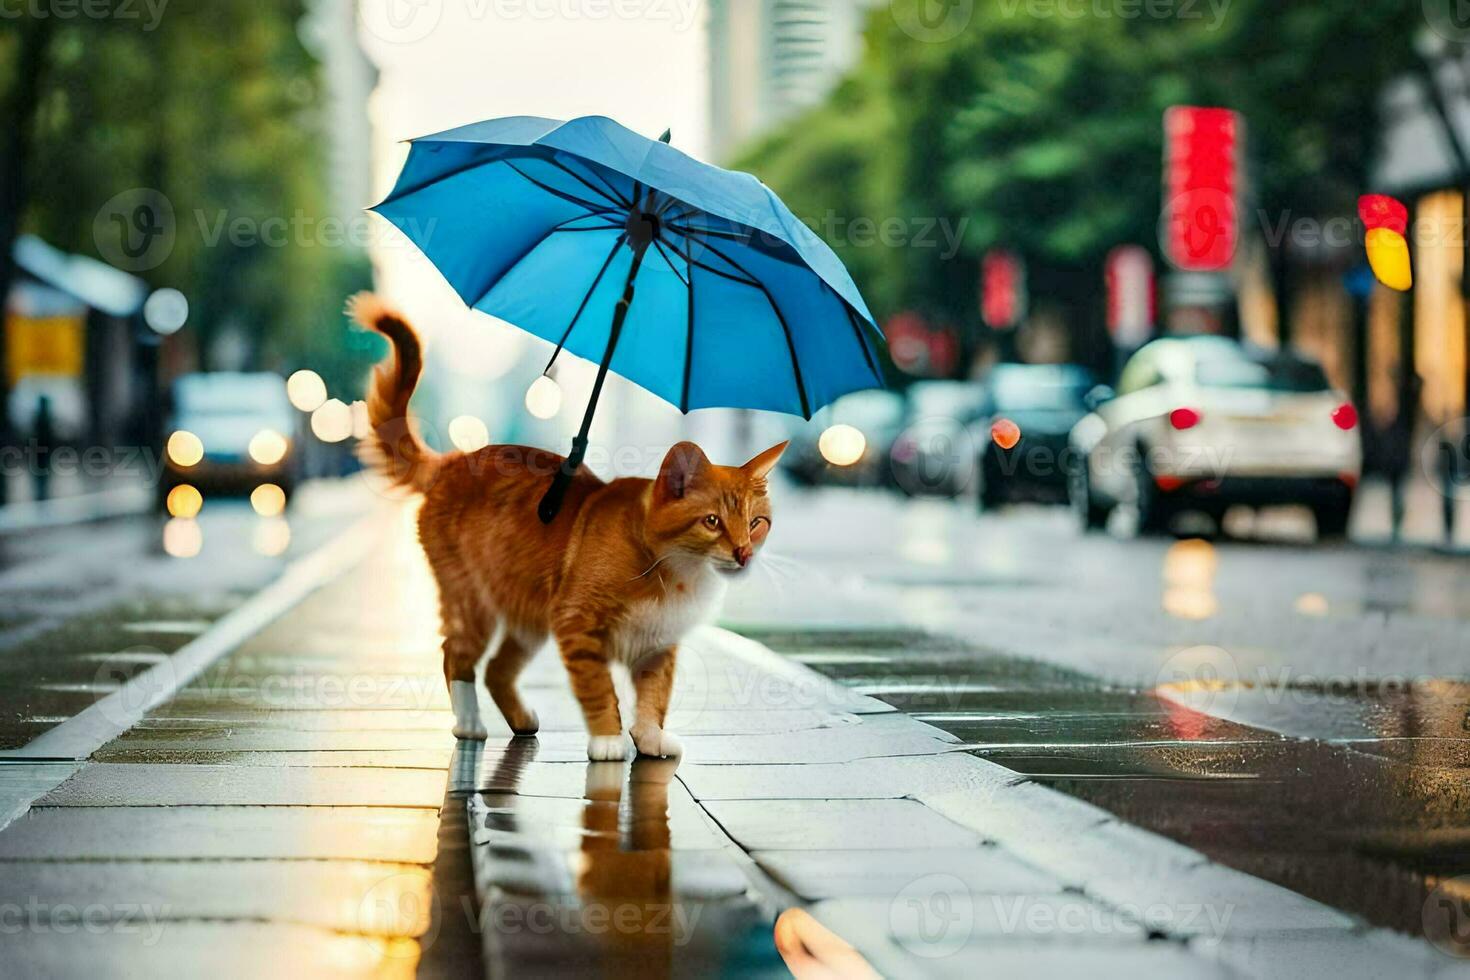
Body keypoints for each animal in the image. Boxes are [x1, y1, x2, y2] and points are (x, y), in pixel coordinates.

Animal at [349, 290, 787, 758]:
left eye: (756, 523)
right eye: (712, 522)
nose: (743, 552)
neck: (676, 571)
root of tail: (455, 459)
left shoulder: (657, 646)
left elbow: (654, 695)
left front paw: (649, 736)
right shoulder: (577, 625)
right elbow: (599, 690)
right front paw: (610, 739)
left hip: (527, 617)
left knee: (498, 669)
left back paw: (521, 720)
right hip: (473, 601)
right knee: (457, 655)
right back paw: (468, 723)